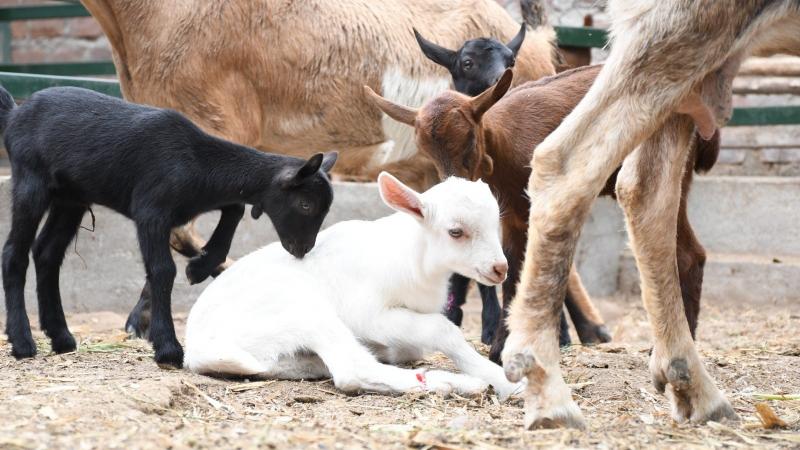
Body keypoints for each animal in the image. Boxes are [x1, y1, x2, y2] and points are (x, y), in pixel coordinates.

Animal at [0, 86, 337, 368]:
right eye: (305, 205)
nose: (303, 248)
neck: (197, 161)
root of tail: (14, 113)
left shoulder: (196, 199)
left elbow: (235, 207)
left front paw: (201, 266)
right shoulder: (151, 211)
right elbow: (163, 270)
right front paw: (168, 348)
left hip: (71, 197)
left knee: (47, 253)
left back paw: (61, 337)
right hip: (31, 181)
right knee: (14, 253)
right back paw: (23, 342)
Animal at [185, 172, 522, 399]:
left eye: (495, 224)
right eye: (455, 232)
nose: (500, 269)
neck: (414, 259)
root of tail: (198, 348)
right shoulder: (368, 314)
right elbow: (442, 330)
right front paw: (505, 380)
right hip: (302, 310)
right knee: (351, 371)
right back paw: (457, 384)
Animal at [365, 65, 718, 363]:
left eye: (469, 140)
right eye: (427, 151)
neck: (503, 151)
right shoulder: (511, 214)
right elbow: (510, 269)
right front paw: (500, 348)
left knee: (687, 253)